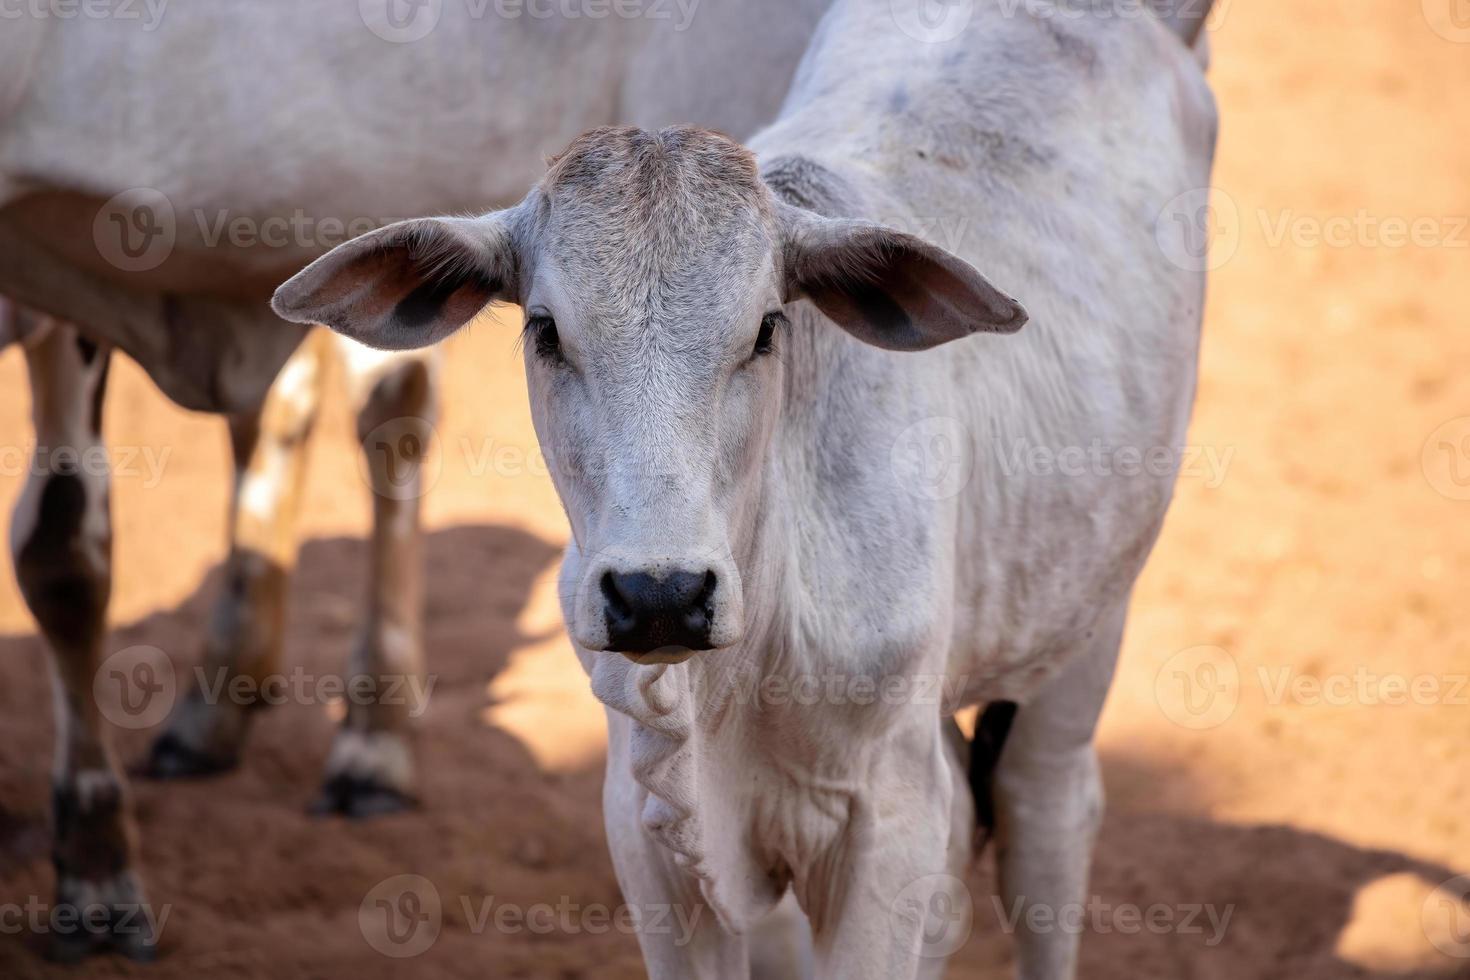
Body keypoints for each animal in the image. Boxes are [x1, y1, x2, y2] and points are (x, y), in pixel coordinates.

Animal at [0, 0, 829, 963]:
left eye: (764, 330)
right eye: (546, 330)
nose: (661, 593)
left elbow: (63, 545)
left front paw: (96, 865)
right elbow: (66, 551)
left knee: (385, 415)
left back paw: (369, 741)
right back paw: (226, 703)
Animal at [276, 1, 1217, 980]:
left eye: (766, 328)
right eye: (544, 331)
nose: (660, 594)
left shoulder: (886, 823)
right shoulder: (647, 831)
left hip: (1089, 620)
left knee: (1047, 817)